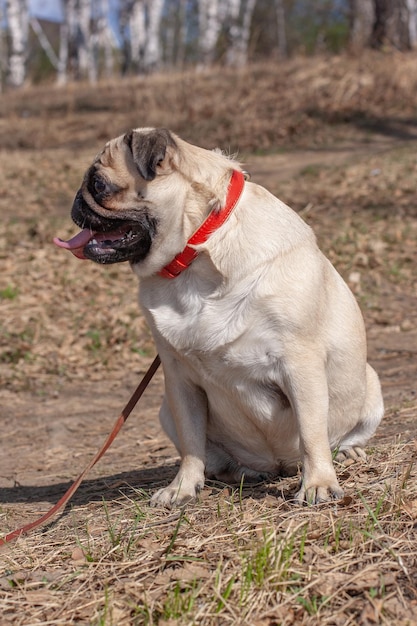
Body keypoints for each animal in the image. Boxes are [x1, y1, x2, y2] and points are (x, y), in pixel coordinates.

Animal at [55, 128, 384, 508]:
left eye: (98, 184)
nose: (75, 202)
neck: (197, 255)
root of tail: (277, 464)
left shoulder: (301, 364)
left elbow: (312, 431)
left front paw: (318, 483)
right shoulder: (179, 379)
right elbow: (191, 444)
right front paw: (182, 487)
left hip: (371, 386)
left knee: (341, 436)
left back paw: (345, 453)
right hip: (166, 410)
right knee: (210, 454)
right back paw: (235, 471)